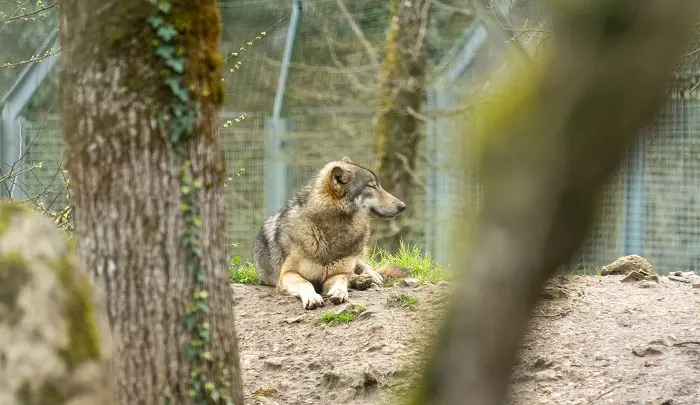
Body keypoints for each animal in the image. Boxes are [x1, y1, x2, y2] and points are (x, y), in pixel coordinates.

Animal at [252, 157, 410, 310]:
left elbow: (341, 279)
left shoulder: (335, 274)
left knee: (359, 267)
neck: (326, 231)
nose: (403, 206)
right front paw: (313, 297)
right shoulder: (287, 274)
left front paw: (340, 291)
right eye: (371, 186)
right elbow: (305, 283)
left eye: (378, 185)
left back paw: (368, 277)